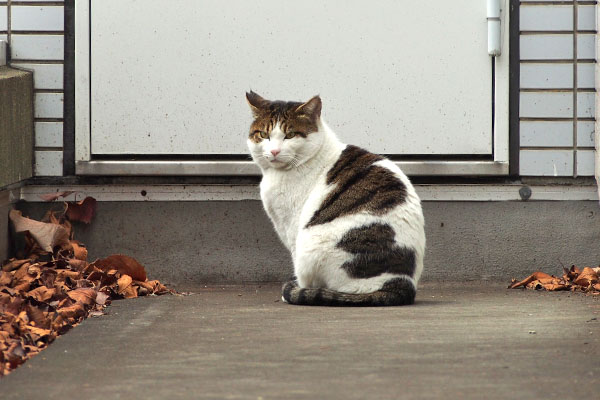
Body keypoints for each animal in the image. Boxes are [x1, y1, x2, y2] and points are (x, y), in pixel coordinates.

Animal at [246, 91, 424, 306]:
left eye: (290, 135)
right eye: (264, 135)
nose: (274, 151)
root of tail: (400, 283)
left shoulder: (293, 229)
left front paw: (296, 289)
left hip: (312, 245)